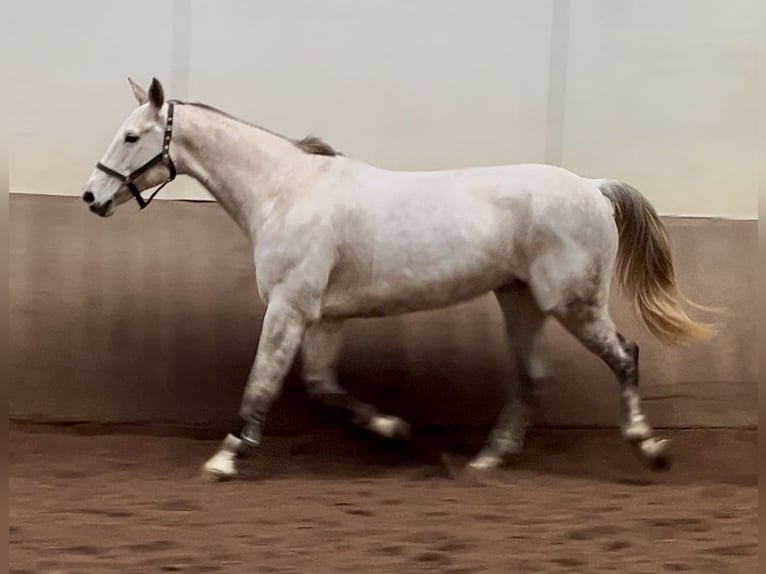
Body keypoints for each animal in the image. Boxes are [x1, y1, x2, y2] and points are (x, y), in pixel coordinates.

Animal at [81, 76, 716, 482]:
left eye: (132, 136)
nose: (93, 197)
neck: (286, 193)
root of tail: (592, 186)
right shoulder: (324, 317)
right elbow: (323, 385)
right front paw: (394, 430)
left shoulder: (289, 307)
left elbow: (262, 381)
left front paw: (226, 458)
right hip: (521, 301)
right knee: (533, 375)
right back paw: (486, 462)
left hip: (573, 303)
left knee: (626, 355)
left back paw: (649, 448)